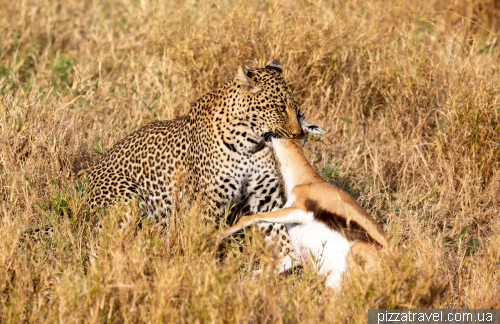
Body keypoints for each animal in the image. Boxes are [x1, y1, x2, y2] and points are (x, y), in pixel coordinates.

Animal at [86, 59, 310, 258]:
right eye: (280, 108)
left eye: (297, 108)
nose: (298, 134)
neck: (250, 144)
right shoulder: (210, 201)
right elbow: (210, 237)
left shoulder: (266, 198)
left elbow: (280, 233)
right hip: (127, 198)